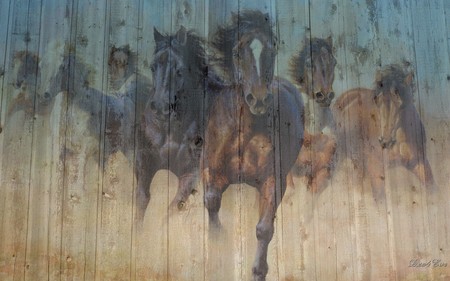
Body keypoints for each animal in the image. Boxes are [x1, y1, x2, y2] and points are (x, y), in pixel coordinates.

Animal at [135, 25, 223, 223]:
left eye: (180, 70)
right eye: (152, 67)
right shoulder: (145, 160)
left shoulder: (190, 173)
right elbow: (142, 200)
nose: (160, 108)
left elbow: (173, 208)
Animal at [205, 10, 304, 280]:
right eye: (237, 52)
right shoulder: (211, 171)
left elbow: (264, 228)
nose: (259, 99)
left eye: (272, 49)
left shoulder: (273, 180)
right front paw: (217, 243)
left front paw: (259, 271)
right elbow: (212, 201)